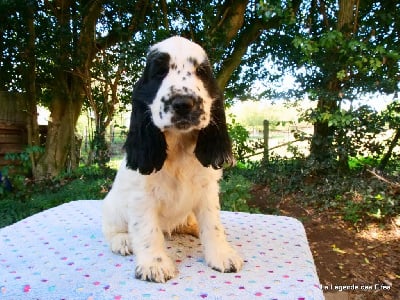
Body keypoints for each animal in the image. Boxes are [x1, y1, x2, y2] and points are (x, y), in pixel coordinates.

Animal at [101, 36, 242, 282]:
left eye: (201, 72)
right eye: (159, 72)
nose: (183, 103)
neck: (178, 143)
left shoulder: (207, 190)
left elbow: (212, 225)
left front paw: (222, 255)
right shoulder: (142, 196)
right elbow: (147, 230)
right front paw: (154, 264)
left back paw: (193, 227)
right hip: (112, 209)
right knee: (112, 230)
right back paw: (123, 240)